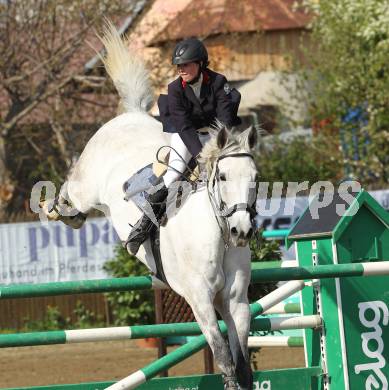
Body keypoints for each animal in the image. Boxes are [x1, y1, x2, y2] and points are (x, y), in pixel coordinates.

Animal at [41, 24, 258, 390]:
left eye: (255, 177)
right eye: (223, 176)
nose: (241, 230)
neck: (215, 233)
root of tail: (130, 114)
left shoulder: (236, 302)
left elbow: (243, 366)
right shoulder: (200, 299)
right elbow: (226, 361)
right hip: (87, 187)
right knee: (73, 189)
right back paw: (56, 209)